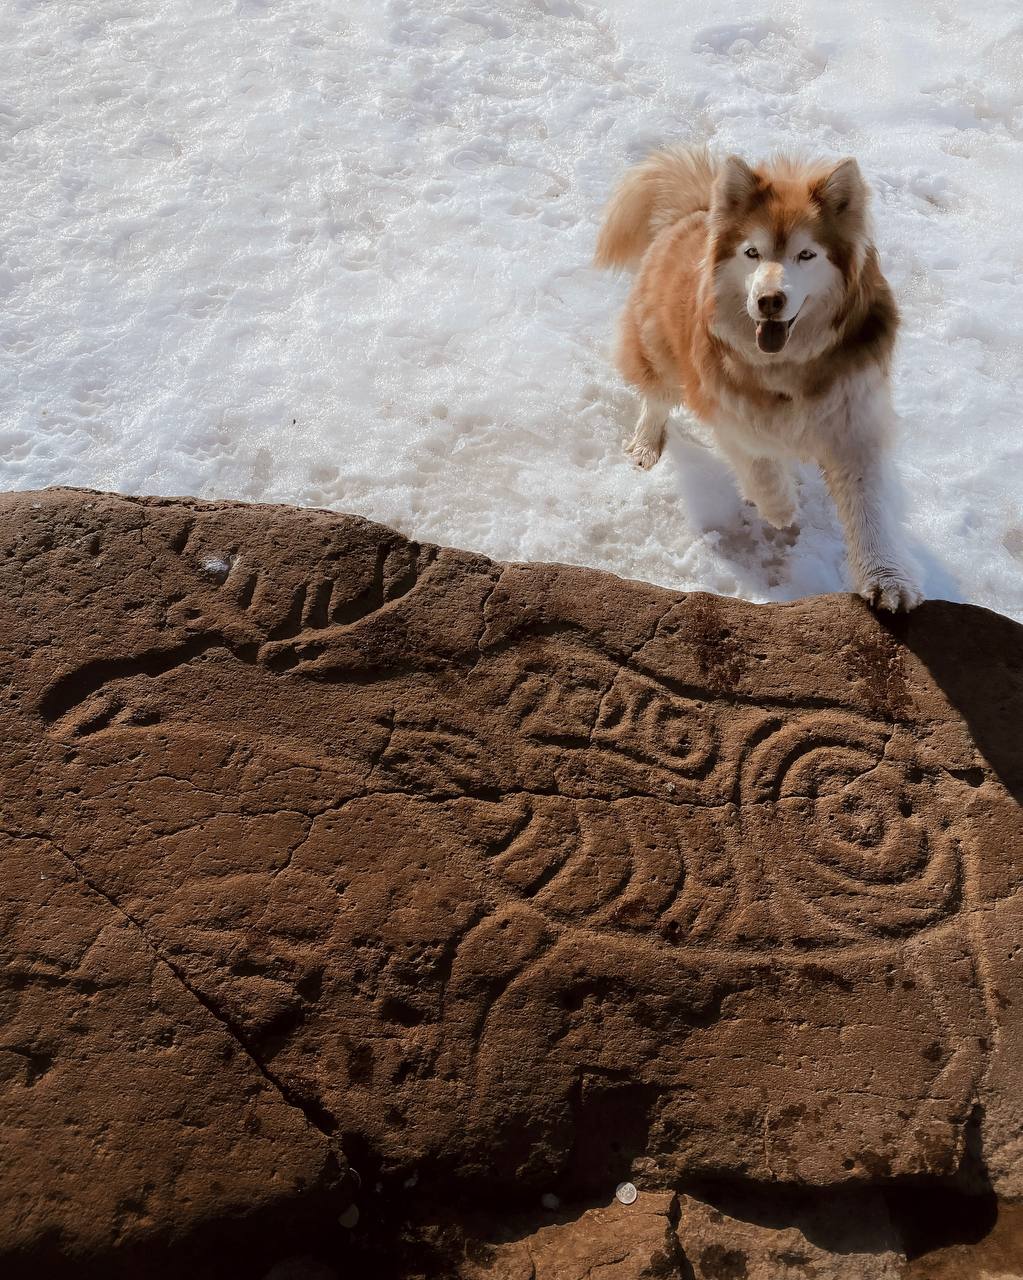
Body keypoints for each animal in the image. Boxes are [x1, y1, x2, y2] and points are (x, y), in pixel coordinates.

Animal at [596, 145, 921, 614]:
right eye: (752, 253)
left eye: (806, 255)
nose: (769, 300)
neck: (790, 366)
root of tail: (696, 211)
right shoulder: (724, 404)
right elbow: (759, 463)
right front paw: (779, 506)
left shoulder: (854, 419)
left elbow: (868, 509)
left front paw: (887, 580)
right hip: (659, 347)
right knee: (657, 394)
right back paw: (646, 442)